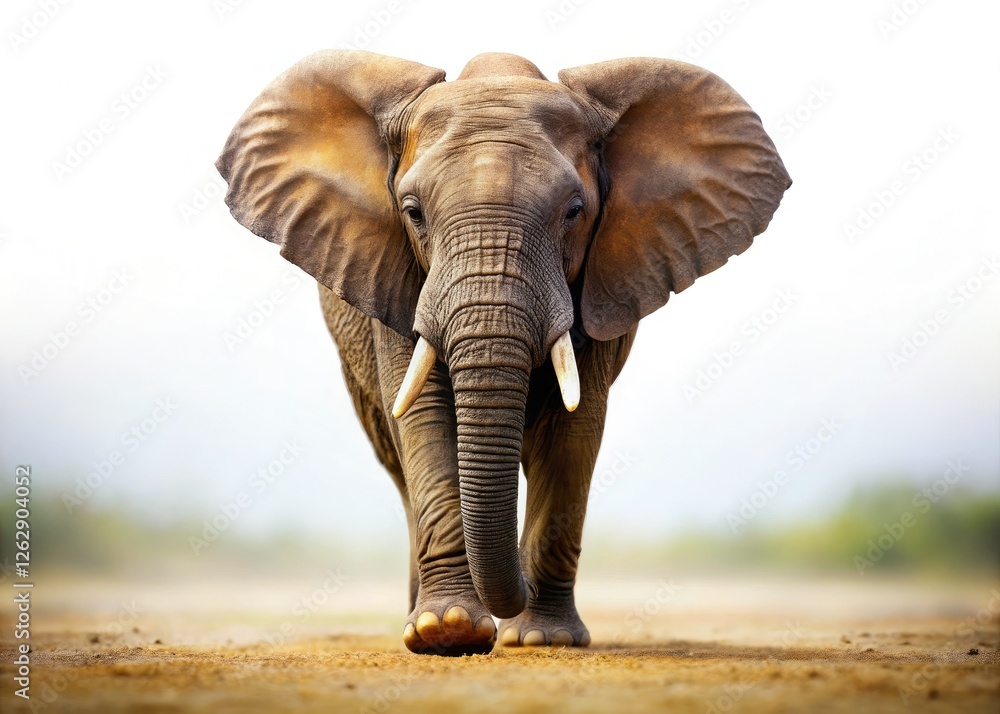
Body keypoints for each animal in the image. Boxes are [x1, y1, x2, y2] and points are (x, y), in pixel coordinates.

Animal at [216, 50, 790, 655]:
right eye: (412, 212)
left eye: (574, 211)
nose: (517, 596)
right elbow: (426, 417)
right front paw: (446, 631)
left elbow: (574, 428)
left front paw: (544, 638)